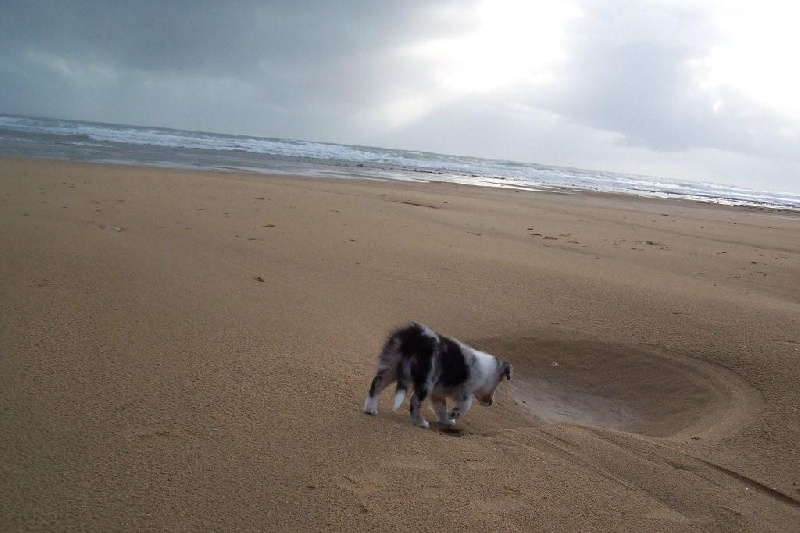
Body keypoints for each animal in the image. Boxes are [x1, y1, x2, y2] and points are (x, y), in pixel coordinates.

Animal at [364, 320, 512, 428]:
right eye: (498, 384)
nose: (491, 403)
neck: (485, 371)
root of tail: (416, 337)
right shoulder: (464, 390)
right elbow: (466, 404)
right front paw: (454, 414)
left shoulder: (438, 394)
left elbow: (441, 409)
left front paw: (447, 421)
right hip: (427, 378)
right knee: (415, 400)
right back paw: (420, 423)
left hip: (392, 366)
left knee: (377, 383)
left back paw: (370, 409)